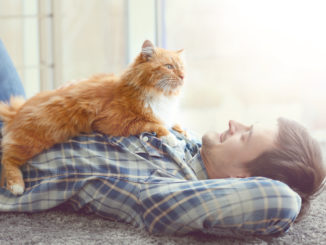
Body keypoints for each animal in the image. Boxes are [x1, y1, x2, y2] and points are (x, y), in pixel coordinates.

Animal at [0, 40, 183, 195]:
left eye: (182, 68)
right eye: (169, 66)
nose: (182, 77)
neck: (160, 95)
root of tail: (17, 110)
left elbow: (171, 122)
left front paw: (180, 130)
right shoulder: (115, 121)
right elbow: (153, 123)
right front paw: (170, 137)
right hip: (33, 140)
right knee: (7, 157)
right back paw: (16, 186)